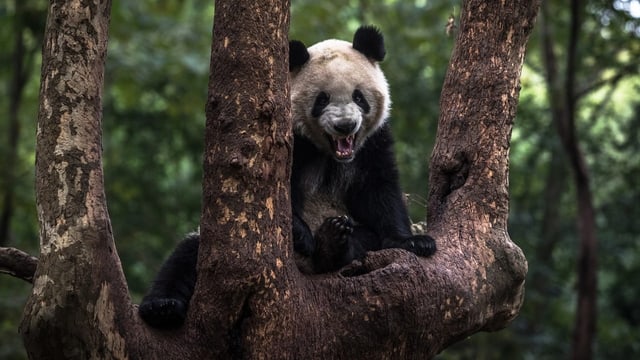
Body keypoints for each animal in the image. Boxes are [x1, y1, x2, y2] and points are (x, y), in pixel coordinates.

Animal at [139, 26, 440, 330]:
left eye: (359, 97)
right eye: (322, 99)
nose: (345, 126)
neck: (330, 154)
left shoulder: (372, 144)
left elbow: (379, 191)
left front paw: (413, 241)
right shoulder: (288, 141)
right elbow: (279, 194)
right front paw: (300, 232)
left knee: (364, 240)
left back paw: (333, 243)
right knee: (185, 257)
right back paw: (162, 307)